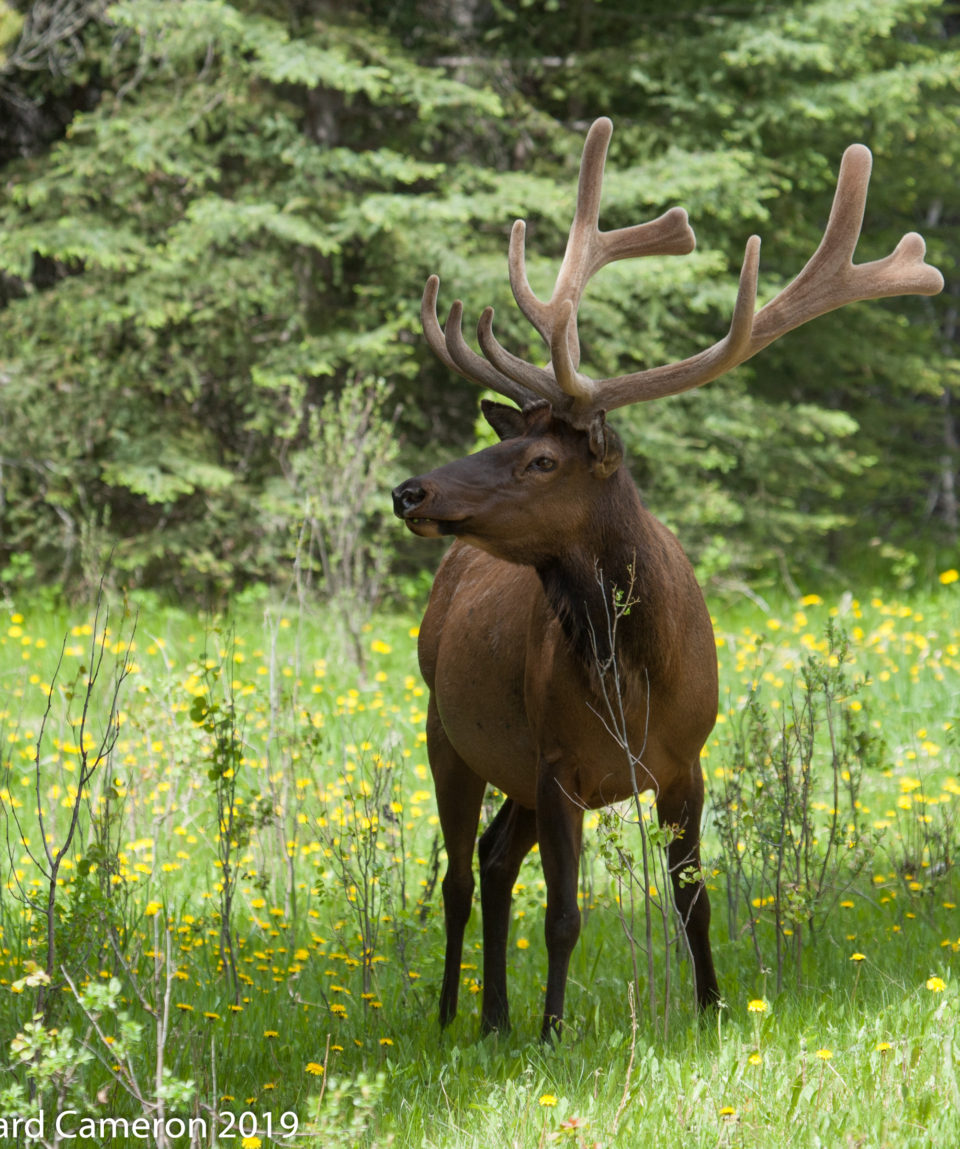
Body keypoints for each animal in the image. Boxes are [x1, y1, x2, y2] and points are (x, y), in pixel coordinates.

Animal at [392, 118, 946, 1043]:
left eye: (541, 460)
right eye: (510, 443)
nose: (411, 491)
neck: (635, 677)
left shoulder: (684, 761)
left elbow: (696, 900)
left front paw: (714, 1007)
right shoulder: (557, 763)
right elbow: (566, 914)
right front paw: (554, 1031)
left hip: (504, 766)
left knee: (492, 859)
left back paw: (494, 1016)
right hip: (448, 730)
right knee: (459, 876)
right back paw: (449, 1015)